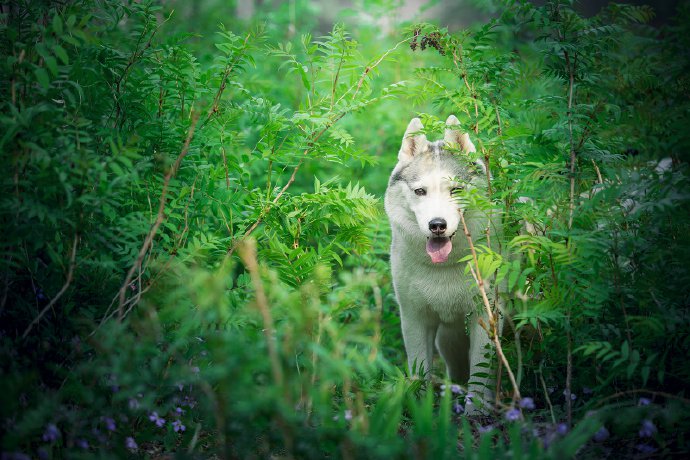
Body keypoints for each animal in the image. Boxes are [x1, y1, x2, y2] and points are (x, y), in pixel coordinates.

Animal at [384, 116, 498, 402]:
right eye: (420, 191)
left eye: (455, 189)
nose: (437, 225)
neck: (445, 266)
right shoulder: (414, 319)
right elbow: (420, 374)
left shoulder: (485, 320)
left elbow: (479, 386)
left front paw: (474, 412)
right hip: (449, 342)